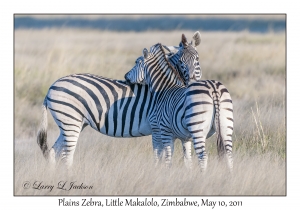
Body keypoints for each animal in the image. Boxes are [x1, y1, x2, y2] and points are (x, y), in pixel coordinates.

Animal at [37, 32, 202, 168]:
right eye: (181, 62)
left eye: (197, 59)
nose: (193, 82)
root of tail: (52, 86)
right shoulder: (157, 126)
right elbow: (160, 157)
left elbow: (187, 159)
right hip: (70, 121)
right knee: (67, 156)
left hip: (71, 123)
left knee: (53, 152)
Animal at [124, 43, 234, 172]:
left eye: (137, 62)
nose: (125, 76)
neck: (163, 89)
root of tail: (213, 89)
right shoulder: (185, 138)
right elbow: (187, 159)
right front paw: (188, 173)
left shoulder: (165, 131)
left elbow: (168, 157)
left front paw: (167, 173)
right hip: (226, 126)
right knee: (229, 155)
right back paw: (230, 175)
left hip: (197, 129)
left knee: (203, 156)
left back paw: (203, 176)